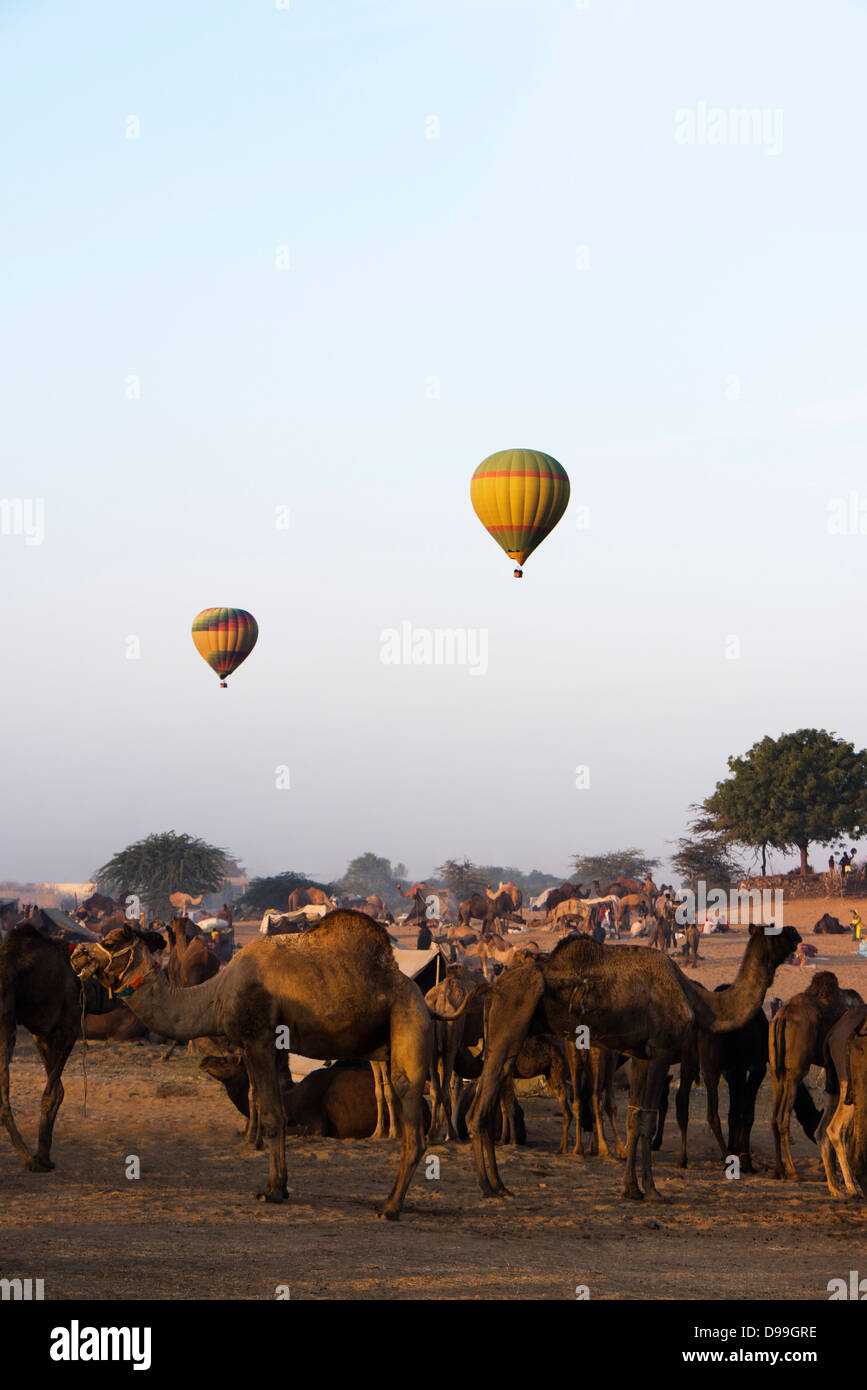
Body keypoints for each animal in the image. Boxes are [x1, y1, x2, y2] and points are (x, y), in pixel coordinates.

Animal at [0, 922, 113, 1173]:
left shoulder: (42, 1031)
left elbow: (57, 1088)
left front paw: (44, 1155)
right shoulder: (67, 1028)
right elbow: (53, 1092)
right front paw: (40, 1158)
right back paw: (29, 1159)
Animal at [71, 911, 433, 1217]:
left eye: (110, 942)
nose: (76, 953)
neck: (217, 995)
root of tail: (421, 997)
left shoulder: (259, 1038)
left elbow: (273, 1117)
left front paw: (271, 1191)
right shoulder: (264, 1047)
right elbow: (270, 1108)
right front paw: (281, 1187)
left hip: (408, 1022)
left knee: (412, 1122)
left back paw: (390, 1206)